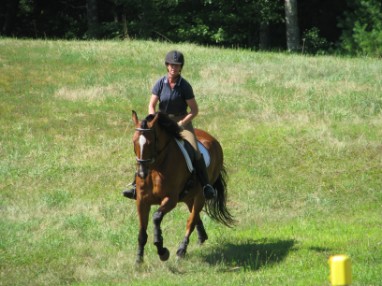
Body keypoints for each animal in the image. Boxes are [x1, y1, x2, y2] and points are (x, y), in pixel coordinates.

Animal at [131, 110, 233, 264]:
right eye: (134, 141)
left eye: (150, 143)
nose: (142, 173)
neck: (156, 168)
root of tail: (213, 139)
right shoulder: (142, 201)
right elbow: (142, 232)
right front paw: (138, 260)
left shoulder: (171, 199)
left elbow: (156, 217)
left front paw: (162, 250)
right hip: (188, 196)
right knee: (194, 216)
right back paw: (202, 237)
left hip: (200, 196)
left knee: (191, 220)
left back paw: (181, 250)